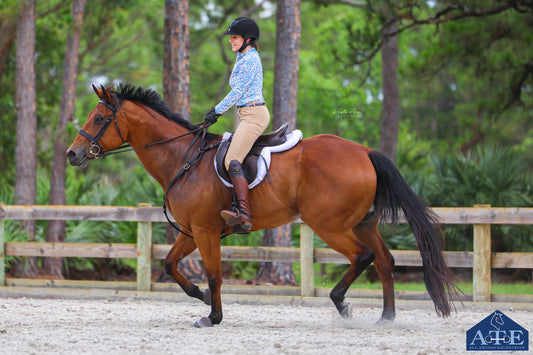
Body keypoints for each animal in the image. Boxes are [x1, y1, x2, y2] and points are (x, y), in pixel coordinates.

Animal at [65, 83, 458, 328]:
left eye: (98, 119)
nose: (72, 154)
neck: (183, 158)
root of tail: (363, 151)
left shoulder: (205, 230)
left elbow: (215, 273)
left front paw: (212, 316)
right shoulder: (192, 231)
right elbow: (171, 265)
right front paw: (200, 297)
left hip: (329, 225)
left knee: (363, 257)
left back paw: (342, 302)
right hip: (362, 223)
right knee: (385, 261)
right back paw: (386, 317)